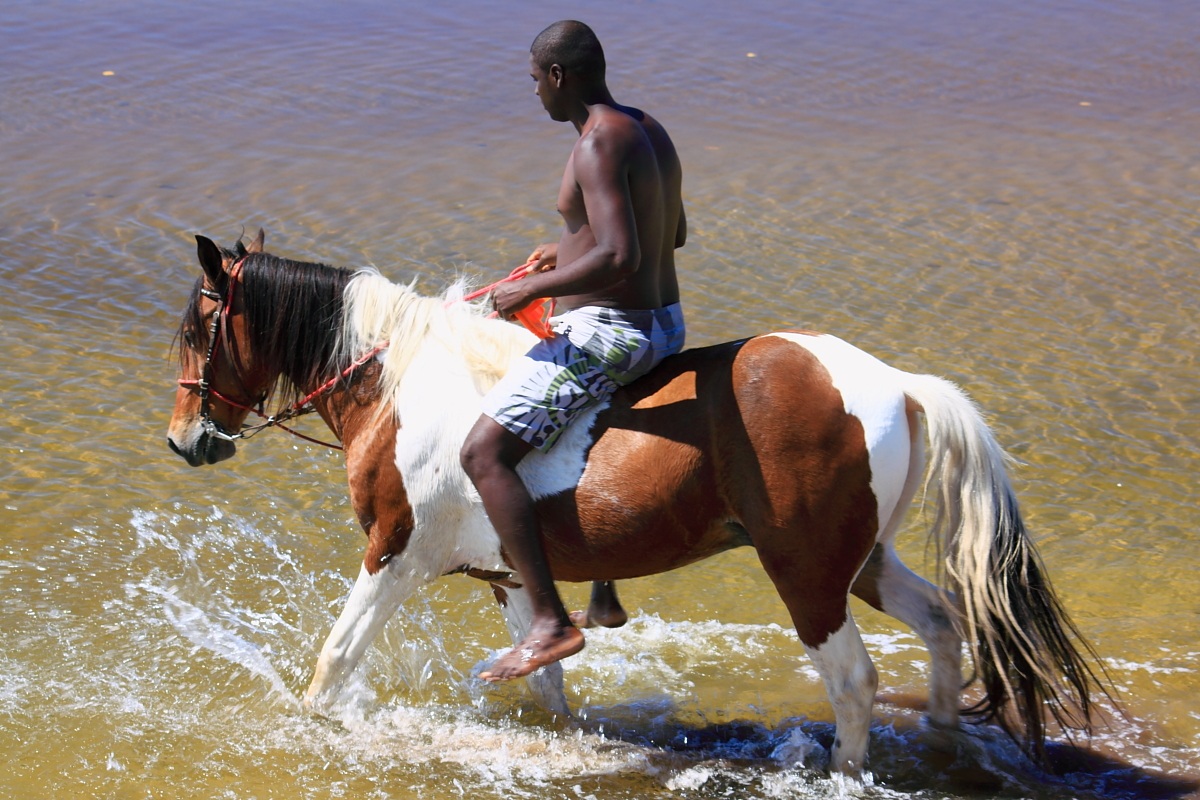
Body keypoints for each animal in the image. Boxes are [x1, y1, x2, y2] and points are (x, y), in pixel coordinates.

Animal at [166, 230, 1105, 775]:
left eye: (197, 327)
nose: (185, 439)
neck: (401, 384)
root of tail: (896, 383)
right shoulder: (511, 579)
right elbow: (547, 684)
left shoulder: (397, 554)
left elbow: (331, 668)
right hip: (861, 558)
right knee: (943, 624)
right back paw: (943, 749)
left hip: (805, 570)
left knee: (853, 680)